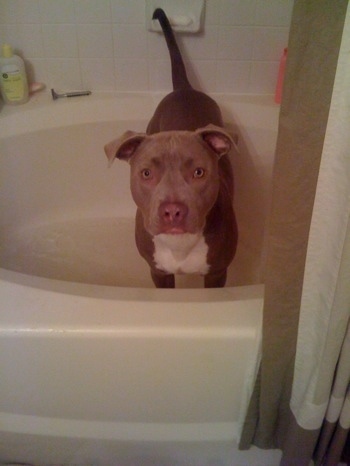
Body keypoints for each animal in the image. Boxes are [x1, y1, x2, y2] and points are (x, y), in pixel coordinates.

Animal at [104, 9, 238, 288]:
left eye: (199, 172)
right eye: (146, 173)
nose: (173, 211)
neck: (180, 244)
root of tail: (184, 89)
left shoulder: (217, 274)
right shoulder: (159, 272)